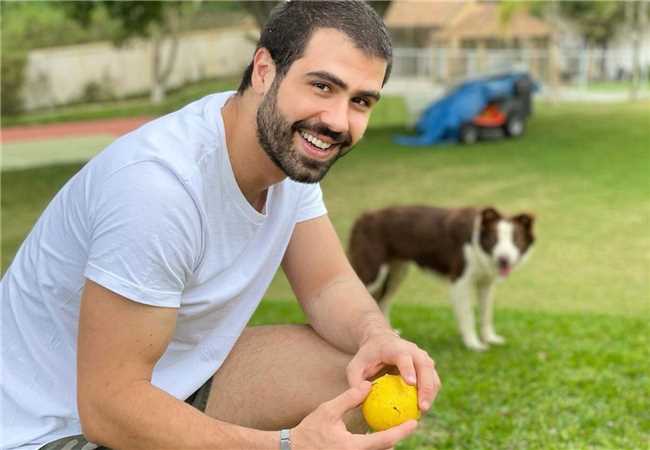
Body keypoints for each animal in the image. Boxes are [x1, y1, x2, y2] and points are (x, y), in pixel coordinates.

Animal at [346, 207, 536, 352]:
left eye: (516, 240)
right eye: (493, 239)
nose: (504, 259)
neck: (475, 242)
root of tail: (362, 218)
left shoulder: (486, 284)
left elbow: (486, 314)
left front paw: (490, 338)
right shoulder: (460, 281)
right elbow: (468, 315)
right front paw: (473, 344)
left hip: (397, 272)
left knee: (383, 301)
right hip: (372, 272)